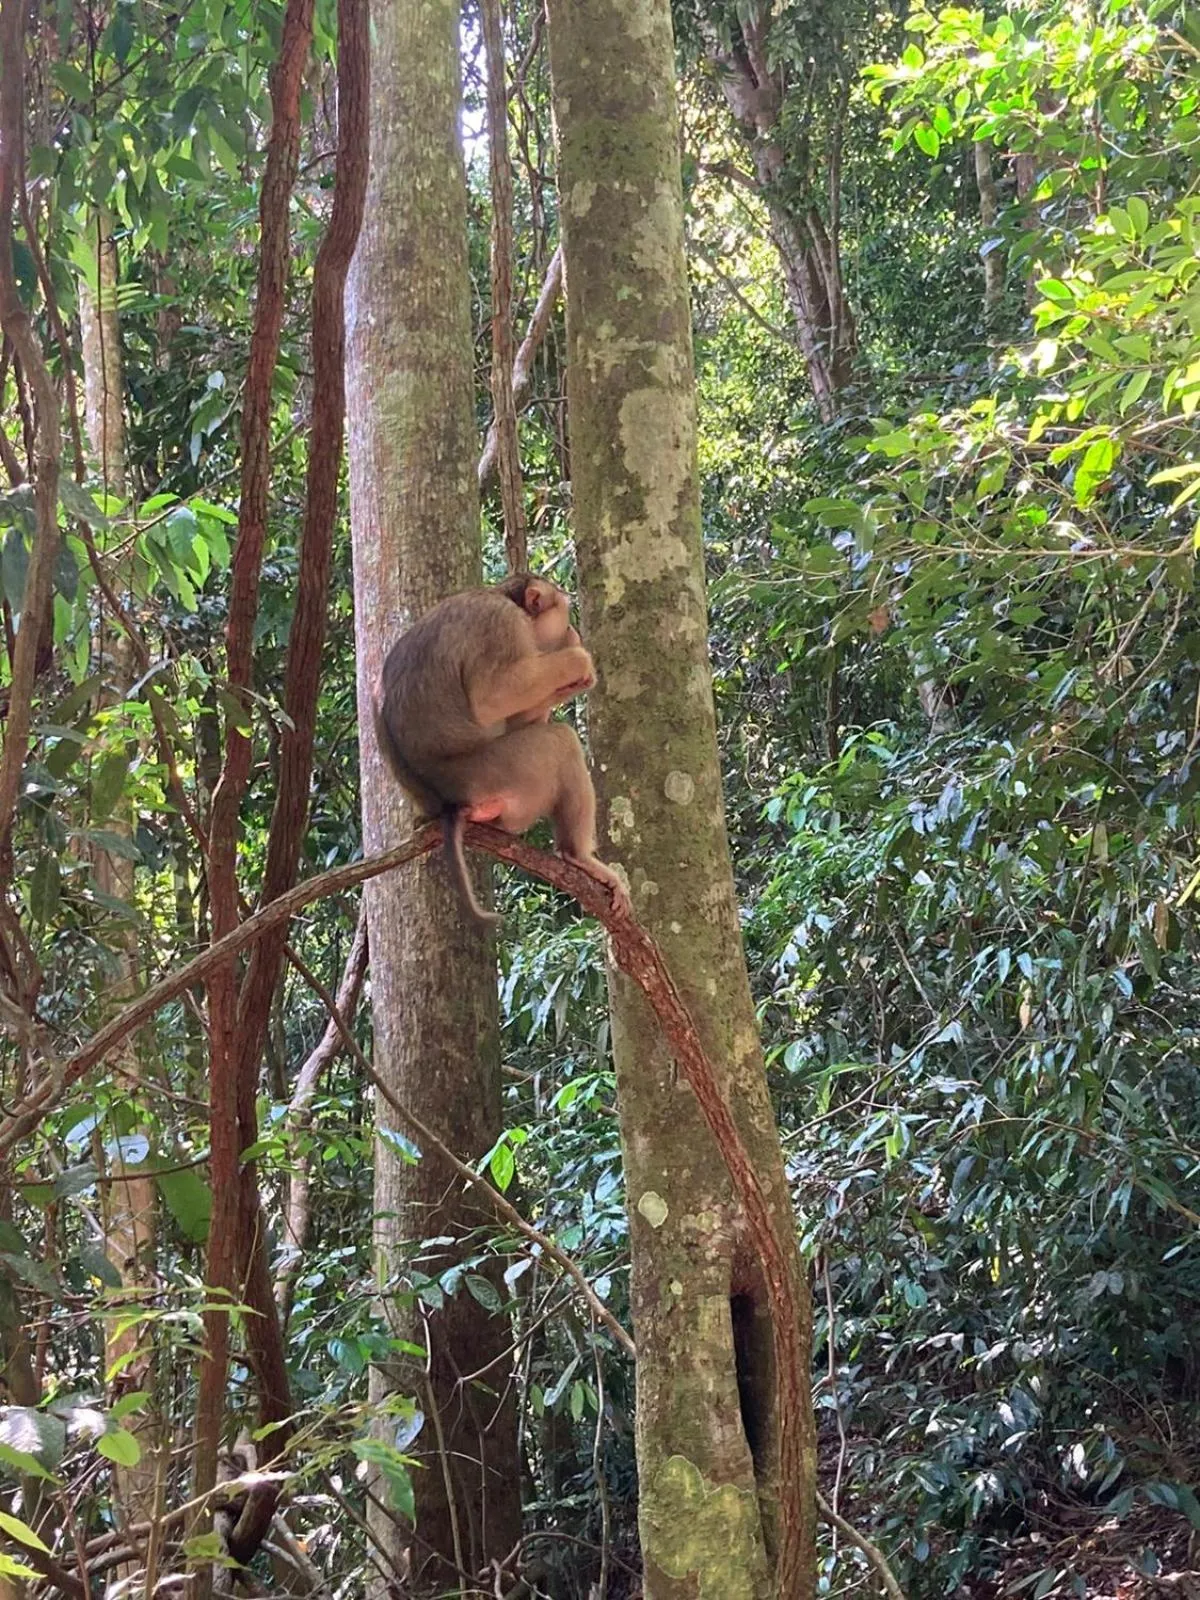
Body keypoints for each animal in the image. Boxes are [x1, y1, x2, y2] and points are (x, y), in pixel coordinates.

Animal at [374, 574, 629, 928]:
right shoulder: (503, 625)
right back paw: (577, 856)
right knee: (561, 743)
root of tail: (446, 803)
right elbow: (492, 698)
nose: (574, 633)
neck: (504, 598)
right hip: (504, 774)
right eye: (565, 621)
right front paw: (579, 661)